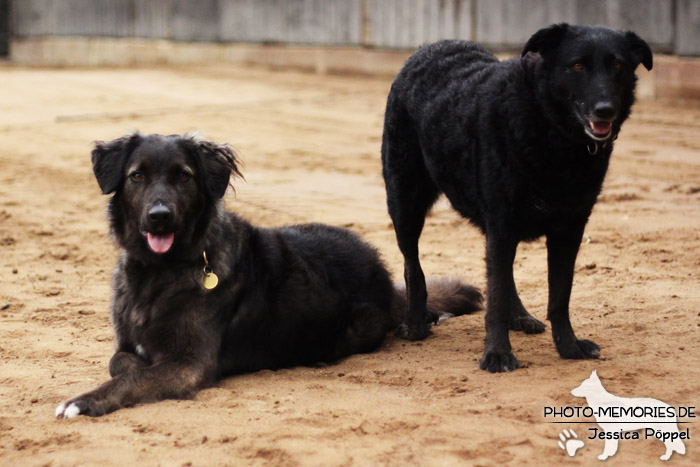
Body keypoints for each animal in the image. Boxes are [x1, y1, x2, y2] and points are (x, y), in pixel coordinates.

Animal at [382, 23, 652, 372]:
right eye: (577, 65)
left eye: (618, 65)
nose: (606, 110)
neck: (551, 131)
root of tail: (428, 48)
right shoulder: (502, 224)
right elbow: (495, 299)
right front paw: (497, 354)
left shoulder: (568, 230)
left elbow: (559, 296)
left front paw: (569, 347)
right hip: (406, 203)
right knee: (413, 266)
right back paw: (415, 323)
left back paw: (520, 317)